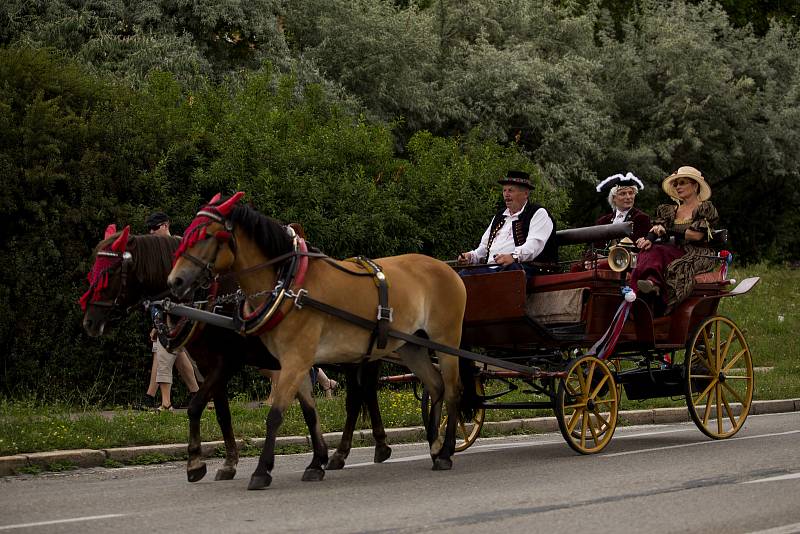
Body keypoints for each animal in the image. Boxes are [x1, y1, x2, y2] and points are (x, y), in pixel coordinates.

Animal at [81, 225, 390, 482]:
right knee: (359, 396)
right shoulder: (210, 366)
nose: (89, 322)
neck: (209, 301)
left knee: (359, 397)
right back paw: (357, 450)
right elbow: (222, 414)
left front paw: (195, 463)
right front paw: (229, 463)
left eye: (109, 271)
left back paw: (366, 448)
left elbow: (195, 406)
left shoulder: (226, 363)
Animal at [169, 195, 468, 492]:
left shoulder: (291, 361)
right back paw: (434, 446)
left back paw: (446, 452)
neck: (290, 286)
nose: (175, 281)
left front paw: (261, 470)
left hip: (445, 342)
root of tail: (447, 268)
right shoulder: (293, 363)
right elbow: (309, 413)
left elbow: (274, 415)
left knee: (452, 390)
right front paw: (316, 463)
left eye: (207, 235)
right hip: (410, 347)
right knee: (435, 386)